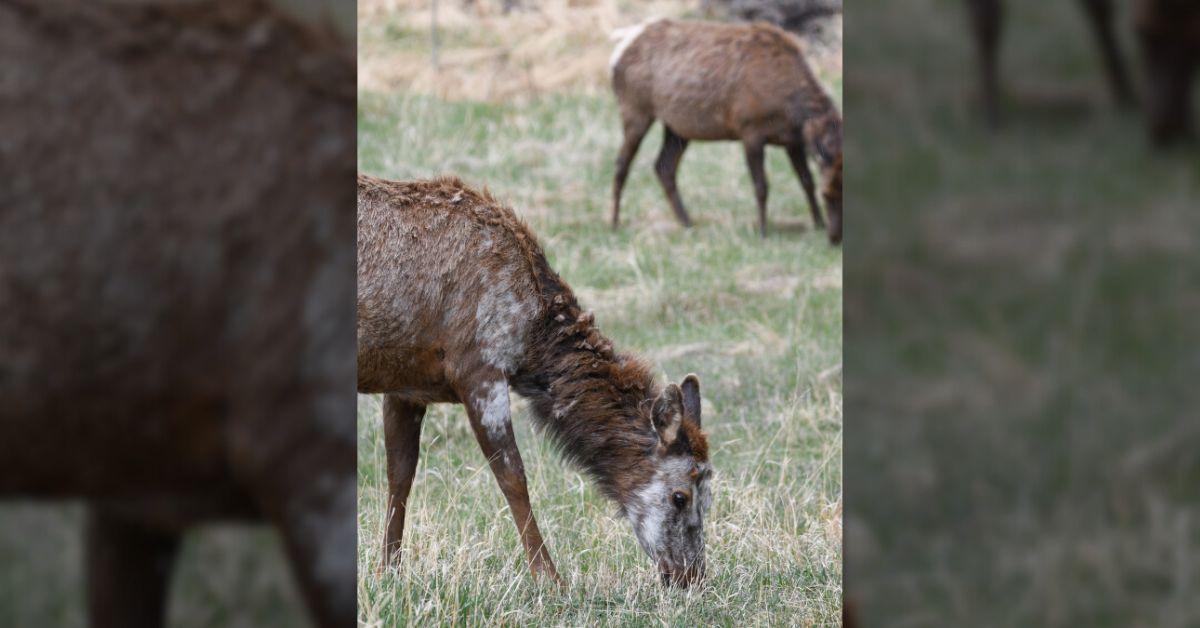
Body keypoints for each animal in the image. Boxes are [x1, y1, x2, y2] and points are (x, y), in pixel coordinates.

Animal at [358, 174, 714, 587]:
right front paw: (549, 576)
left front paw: (388, 569)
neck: (531, 338)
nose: (692, 575)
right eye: (680, 496)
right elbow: (513, 476)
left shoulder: (405, 384)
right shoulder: (479, 368)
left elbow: (399, 474)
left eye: (709, 497)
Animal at [609, 18, 843, 244]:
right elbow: (761, 187)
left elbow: (806, 181)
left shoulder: (793, 140)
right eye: (826, 194)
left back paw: (687, 222)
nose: (835, 238)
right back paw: (614, 223)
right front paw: (762, 231)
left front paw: (818, 224)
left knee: (664, 166)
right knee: (622, 164)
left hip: (677, 127)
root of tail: (617, 53)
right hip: (635, 109)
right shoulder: (750, 130)